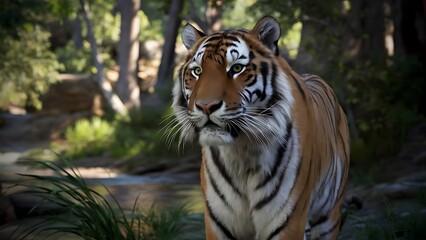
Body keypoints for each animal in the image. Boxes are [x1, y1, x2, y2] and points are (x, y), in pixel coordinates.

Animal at [170, 15, 350, 239]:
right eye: (197, 71)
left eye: (236, 69)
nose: (206, 106)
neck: (242, 150)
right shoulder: (218, 222)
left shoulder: (288, 219)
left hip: (328, 215)